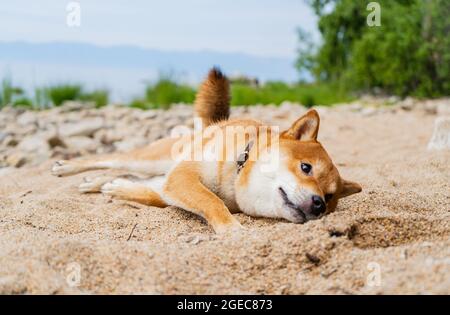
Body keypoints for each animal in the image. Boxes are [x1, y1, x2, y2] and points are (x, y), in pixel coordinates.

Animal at [52, 68, 362, 233]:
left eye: (330, 196)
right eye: (306, 168)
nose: (319, 205)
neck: (237, 170)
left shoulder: (171, 186)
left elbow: (154, 195)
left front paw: (117, 189)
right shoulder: (185, 177)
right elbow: (212, 201)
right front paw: (232, 229)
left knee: (127, 177)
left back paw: (100, 184)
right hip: (154, 159)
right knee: (111, 159)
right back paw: (69, 167)